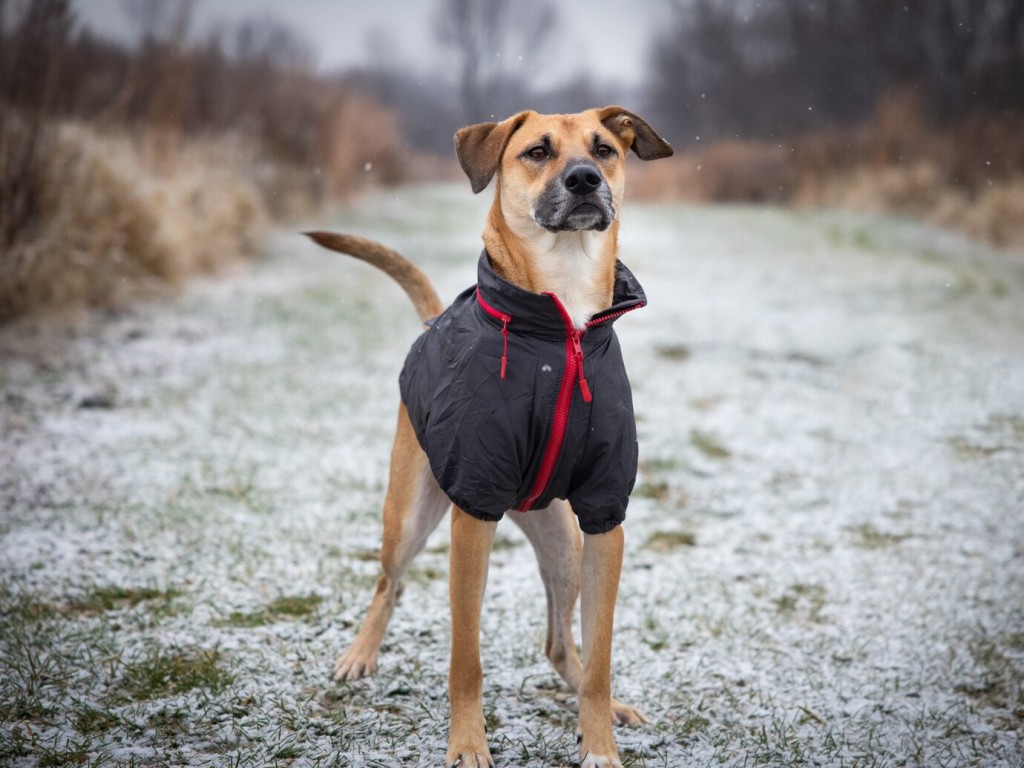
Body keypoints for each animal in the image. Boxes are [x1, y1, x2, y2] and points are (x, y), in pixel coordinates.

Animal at [303, 108, 671, 768]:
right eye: (537, 151)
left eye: (604, 149)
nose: (583, 179)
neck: (563, 327)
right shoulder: (472, 512)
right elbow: (465, 659)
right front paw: (469, 745)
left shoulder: (604, 519)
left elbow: (600, 656)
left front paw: (600, 742)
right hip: (411, 512)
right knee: (389, 581)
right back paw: (359, 655)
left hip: (564, 543)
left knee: (561, 643)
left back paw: (601, 703)